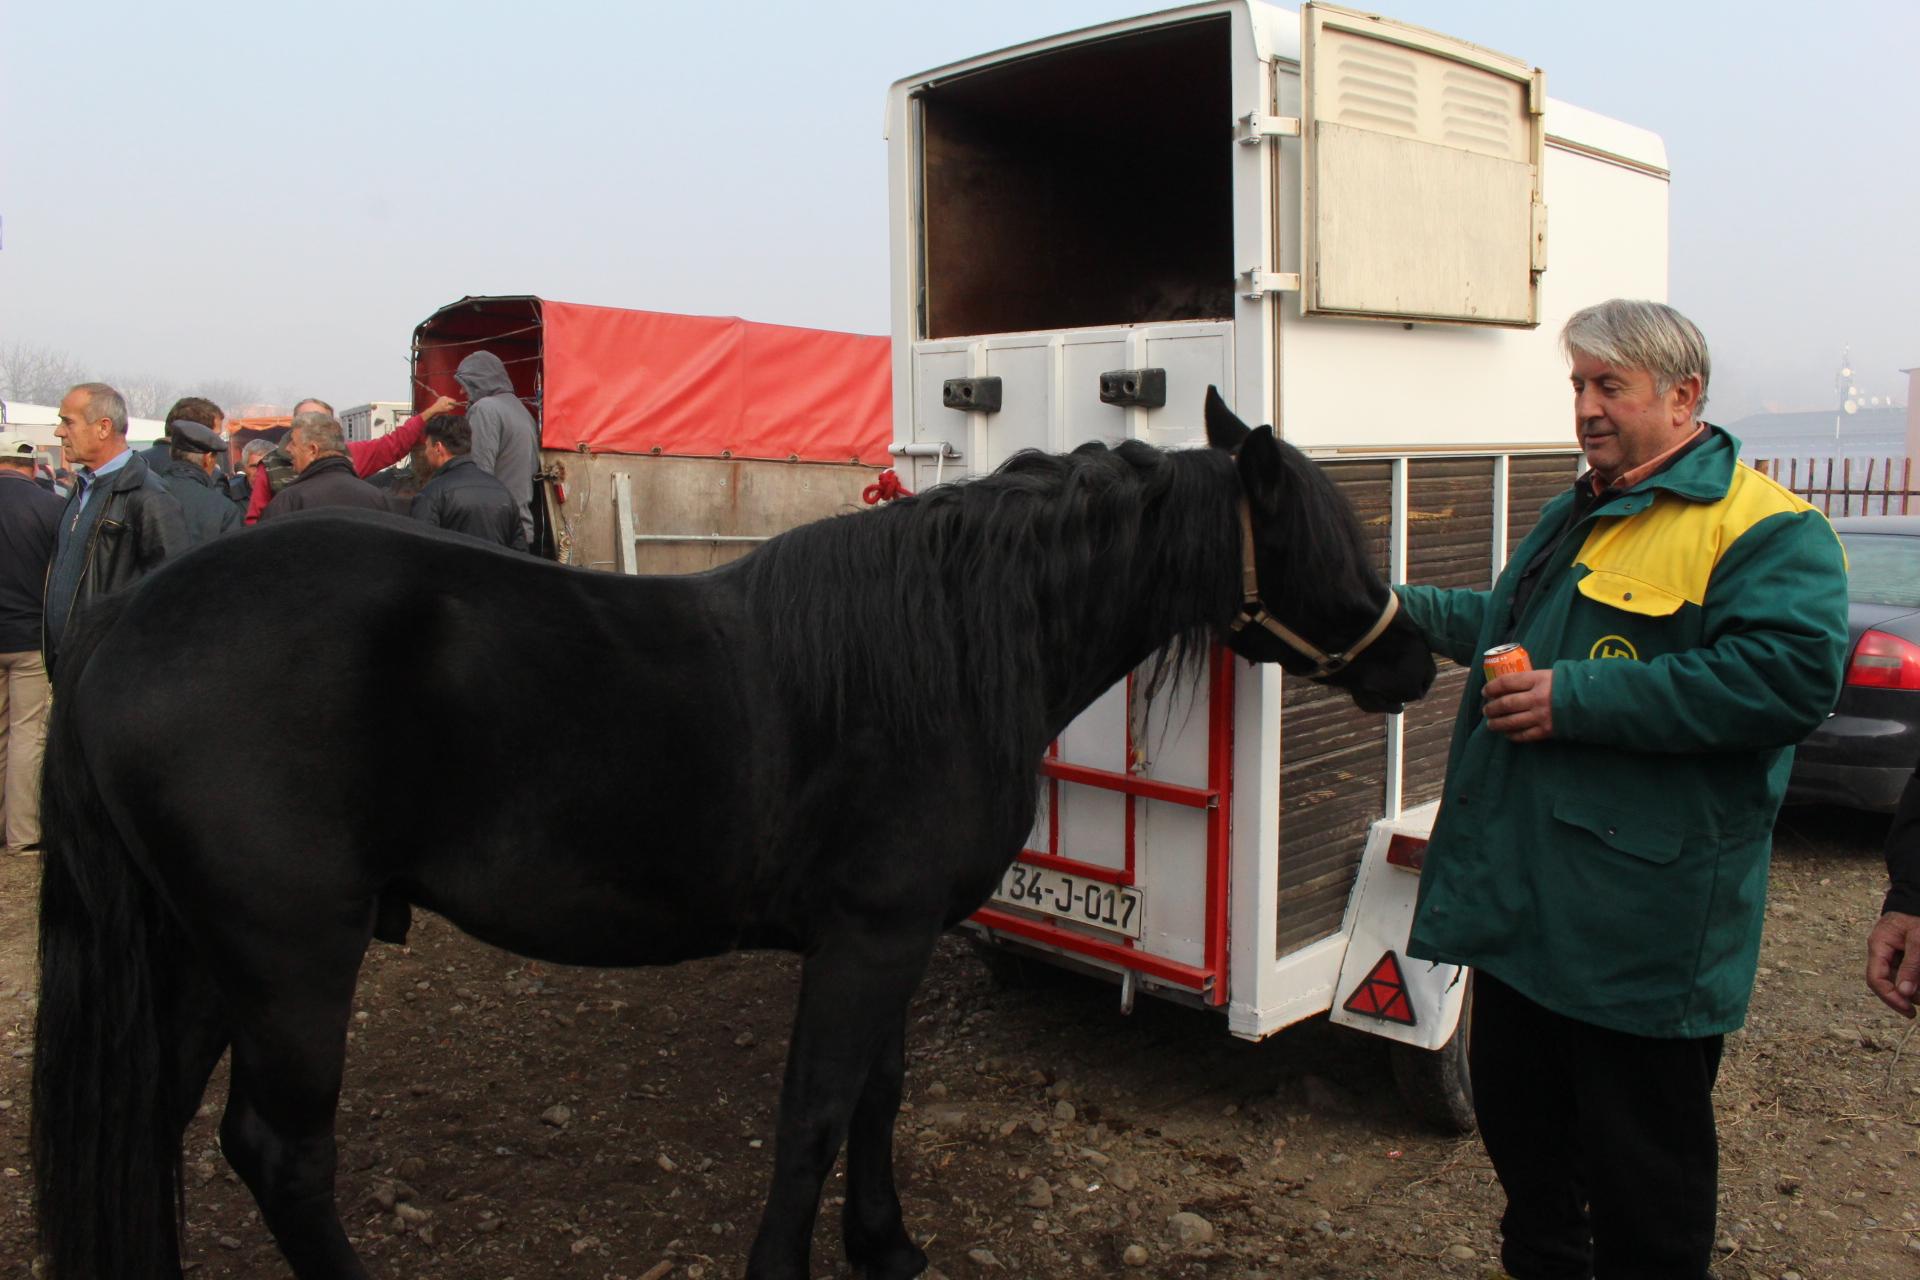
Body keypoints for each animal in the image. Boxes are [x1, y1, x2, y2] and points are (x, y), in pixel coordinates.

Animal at [37, 393, 1436, 1280]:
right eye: (1322, 537)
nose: (1417, 659)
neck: (944, 646)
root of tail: (124, 623)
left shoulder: (894, 939)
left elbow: (876, 1093)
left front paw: (886, 1243)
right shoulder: (867, 936)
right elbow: (813, 1109)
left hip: (197, 957)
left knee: (154, 1121)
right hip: (287, 958)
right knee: (278, 1150)